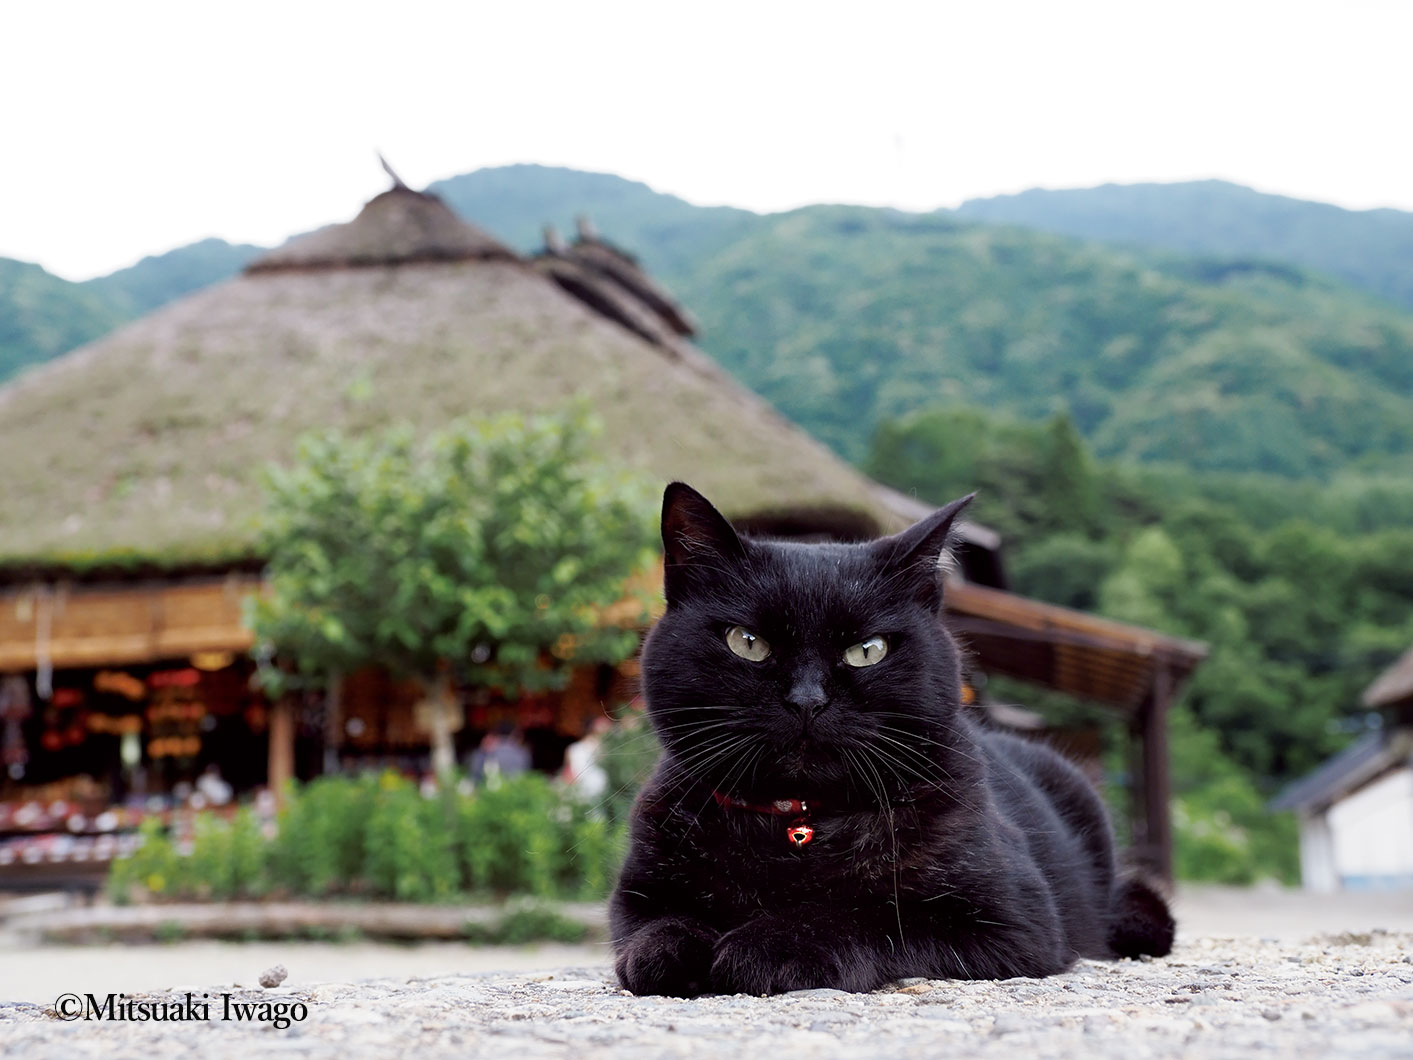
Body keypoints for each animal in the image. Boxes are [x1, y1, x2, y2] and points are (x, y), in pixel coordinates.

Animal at [613, 486, 1175, 1000]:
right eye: (747, 642)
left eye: (868, 650)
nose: (807, 700)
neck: (801, 824)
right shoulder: (637, 896)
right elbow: (653, 928)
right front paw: (673, 949)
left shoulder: (1013, 922)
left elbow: (863, 916)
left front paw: (767, 945)